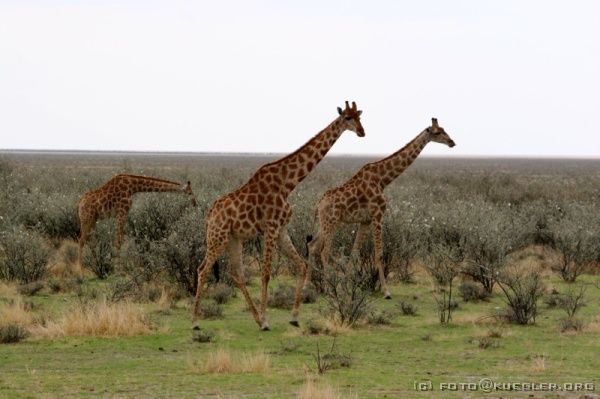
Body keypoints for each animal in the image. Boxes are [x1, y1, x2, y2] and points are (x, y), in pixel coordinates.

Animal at [192, 101, 366, 332]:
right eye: (347, 118)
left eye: (359, 117)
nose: (362, 132)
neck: (287, 183)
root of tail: (209, 214)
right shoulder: (271, 227)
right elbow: (266, 272)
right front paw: (267, 320)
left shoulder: (282, 229)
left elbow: (301, 265)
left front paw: (294, 317)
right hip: (217, 237)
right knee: (202, 269)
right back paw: (195, 321)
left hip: (233, 239)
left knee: (237, 274)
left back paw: (255, 318)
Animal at [310, 117, 454, 298]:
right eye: (437, 132)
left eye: (444, 129)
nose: (452, 142)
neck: (382, 180)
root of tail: (318, 204)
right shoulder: (378, 215)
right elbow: (379, 254)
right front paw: (386, 291)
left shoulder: (365, 220)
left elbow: (354, 253)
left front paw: (346, 285)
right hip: (332, 223)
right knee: (324, 252)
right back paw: (329, 289)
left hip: (324, 224)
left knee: (313, 246)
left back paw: (310, 286)